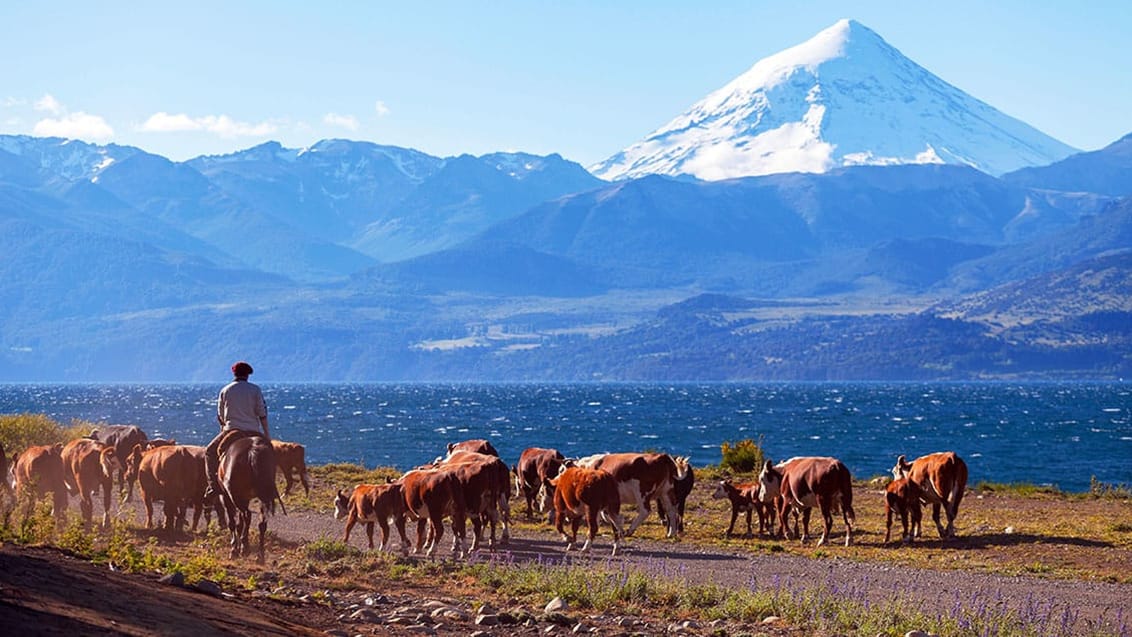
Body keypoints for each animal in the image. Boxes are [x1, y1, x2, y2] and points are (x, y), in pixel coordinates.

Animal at [216, 434, 285, 563]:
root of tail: (253, 449)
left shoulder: (226, 497)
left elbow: (232, 523)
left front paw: (234, 549)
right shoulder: (244, 498)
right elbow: (239, 524)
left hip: (234, 497)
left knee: (247, 515)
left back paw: (245, 548)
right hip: (262, 497)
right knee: (261, 523)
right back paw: (260, 555)